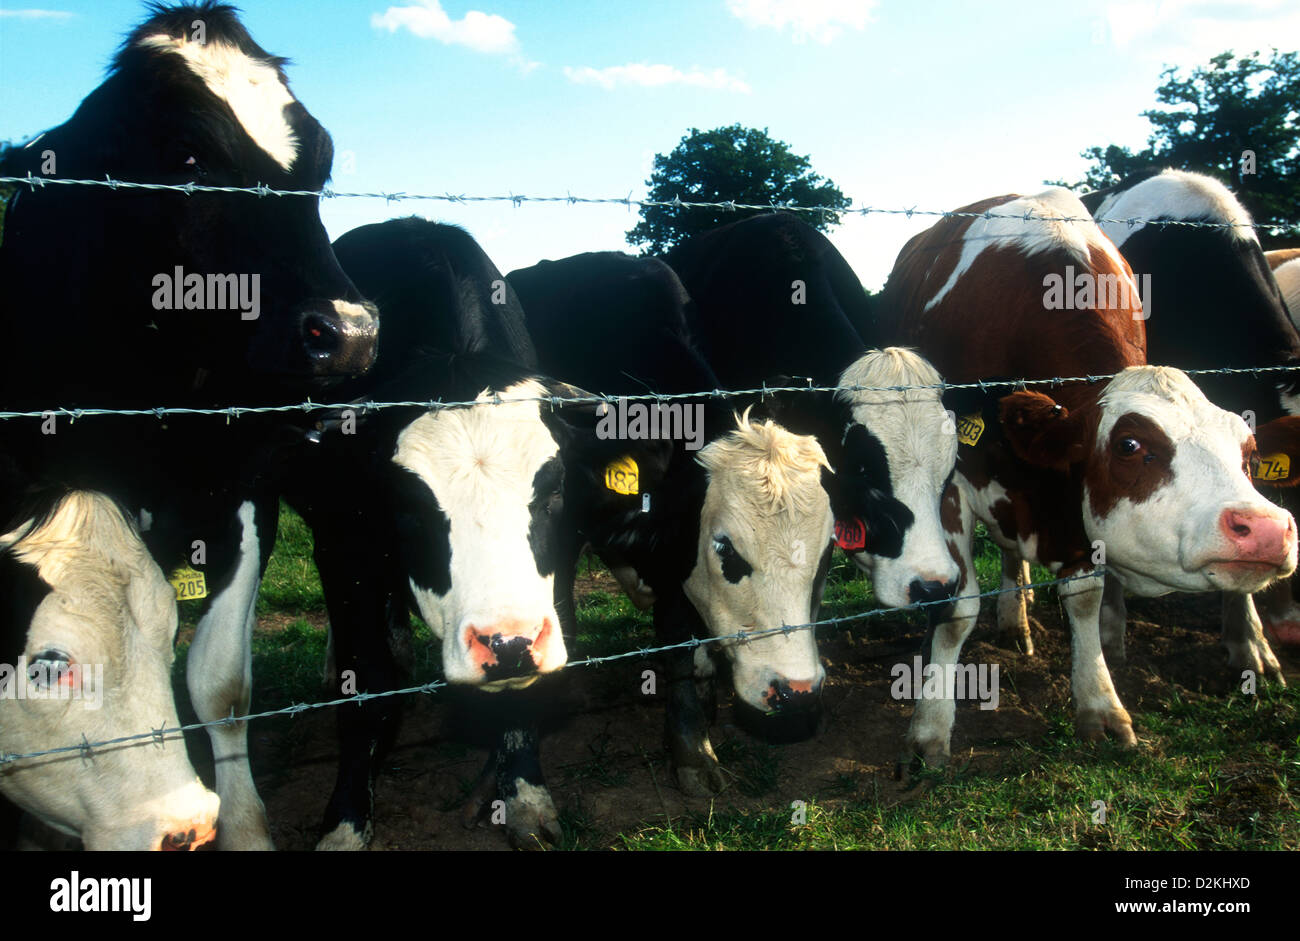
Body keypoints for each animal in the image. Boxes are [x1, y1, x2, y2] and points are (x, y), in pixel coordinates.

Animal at [868, 187, 1300, 769]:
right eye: (1130, 445)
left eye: (1248, 453)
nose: (1268, 529)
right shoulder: (950, 483)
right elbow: (956, 608)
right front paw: (930, 728)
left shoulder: (1071, 506)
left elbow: (1086, 596)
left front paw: (1101, 706)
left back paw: (1017, 618)